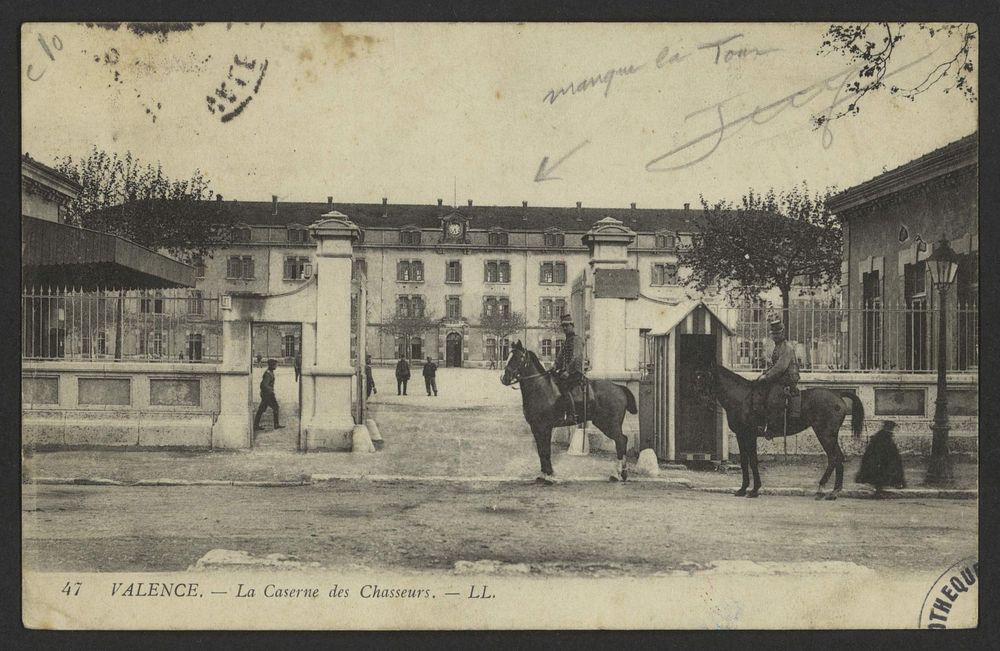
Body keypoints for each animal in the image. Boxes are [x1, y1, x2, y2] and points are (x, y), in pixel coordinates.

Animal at [500, 342, 640, 484]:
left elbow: (546, 451)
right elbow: (541, 451)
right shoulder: (536, 427)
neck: (540, 388)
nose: (504, 378)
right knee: (622, 441)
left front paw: (549, 475)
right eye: (508, 356)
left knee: (621, 441)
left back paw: (618, 474)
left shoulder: (545, 427)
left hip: (608, 424)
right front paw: (543, 474)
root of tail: (619, 387)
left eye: (519, 357)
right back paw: (621, 473)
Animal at [700, 362, 864, 500]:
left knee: (833, 458)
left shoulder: (750, 435)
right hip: (831, 436)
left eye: (704, 377)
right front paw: (742, 489)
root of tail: (838, 395)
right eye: (698, 377)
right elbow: (744, 461)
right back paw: (834, 491)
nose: (704, 402)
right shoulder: (741, 436)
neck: (742, 398)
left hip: (825, 435)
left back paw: (822, 488)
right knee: (839, 457)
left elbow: (752, 461)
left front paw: (754, 490)